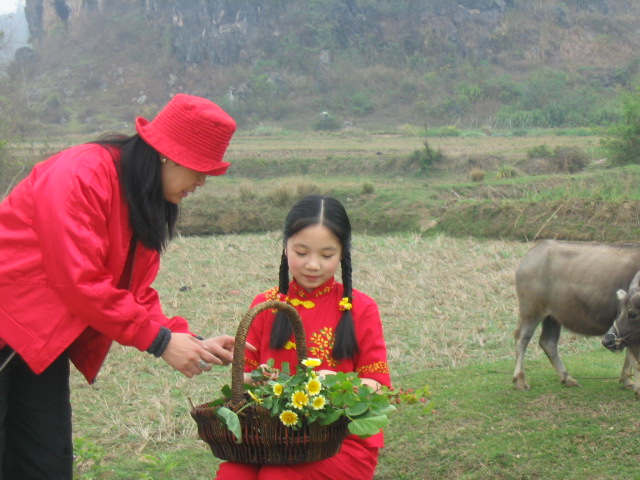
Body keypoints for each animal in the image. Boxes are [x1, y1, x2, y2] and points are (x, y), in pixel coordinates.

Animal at [512, 242, 640, 392]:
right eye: (631, 313)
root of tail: (531, 254)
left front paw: (627, 380)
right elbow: (633, 358)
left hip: (552, 317)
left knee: (548, 342)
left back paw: (567, 378)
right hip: (531, 311)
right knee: (522, 338)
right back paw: (520, 380)